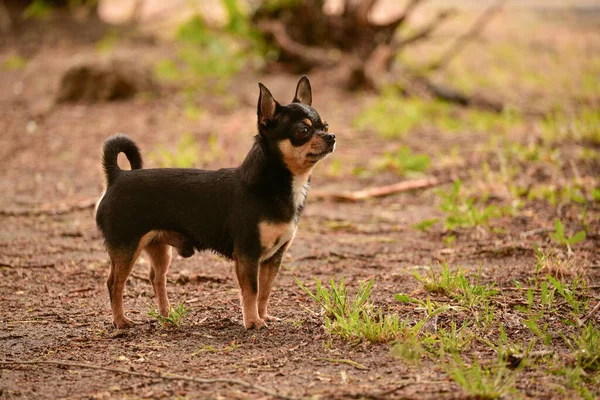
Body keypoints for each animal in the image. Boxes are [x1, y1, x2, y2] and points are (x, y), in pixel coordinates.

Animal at [96, 76, 336, 330]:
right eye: (303, 131)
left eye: (325, 126)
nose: (331, 136)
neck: (281, 183)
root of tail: (117, 176)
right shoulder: (248, 255)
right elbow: (252, 290)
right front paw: (253, 321)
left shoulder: (273, 258)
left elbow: (265, 291)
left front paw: (264, 316)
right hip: (126, 249)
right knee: (114, 282)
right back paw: (120, 320)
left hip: (158, 247)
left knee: (156, 277)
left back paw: (166, 315)